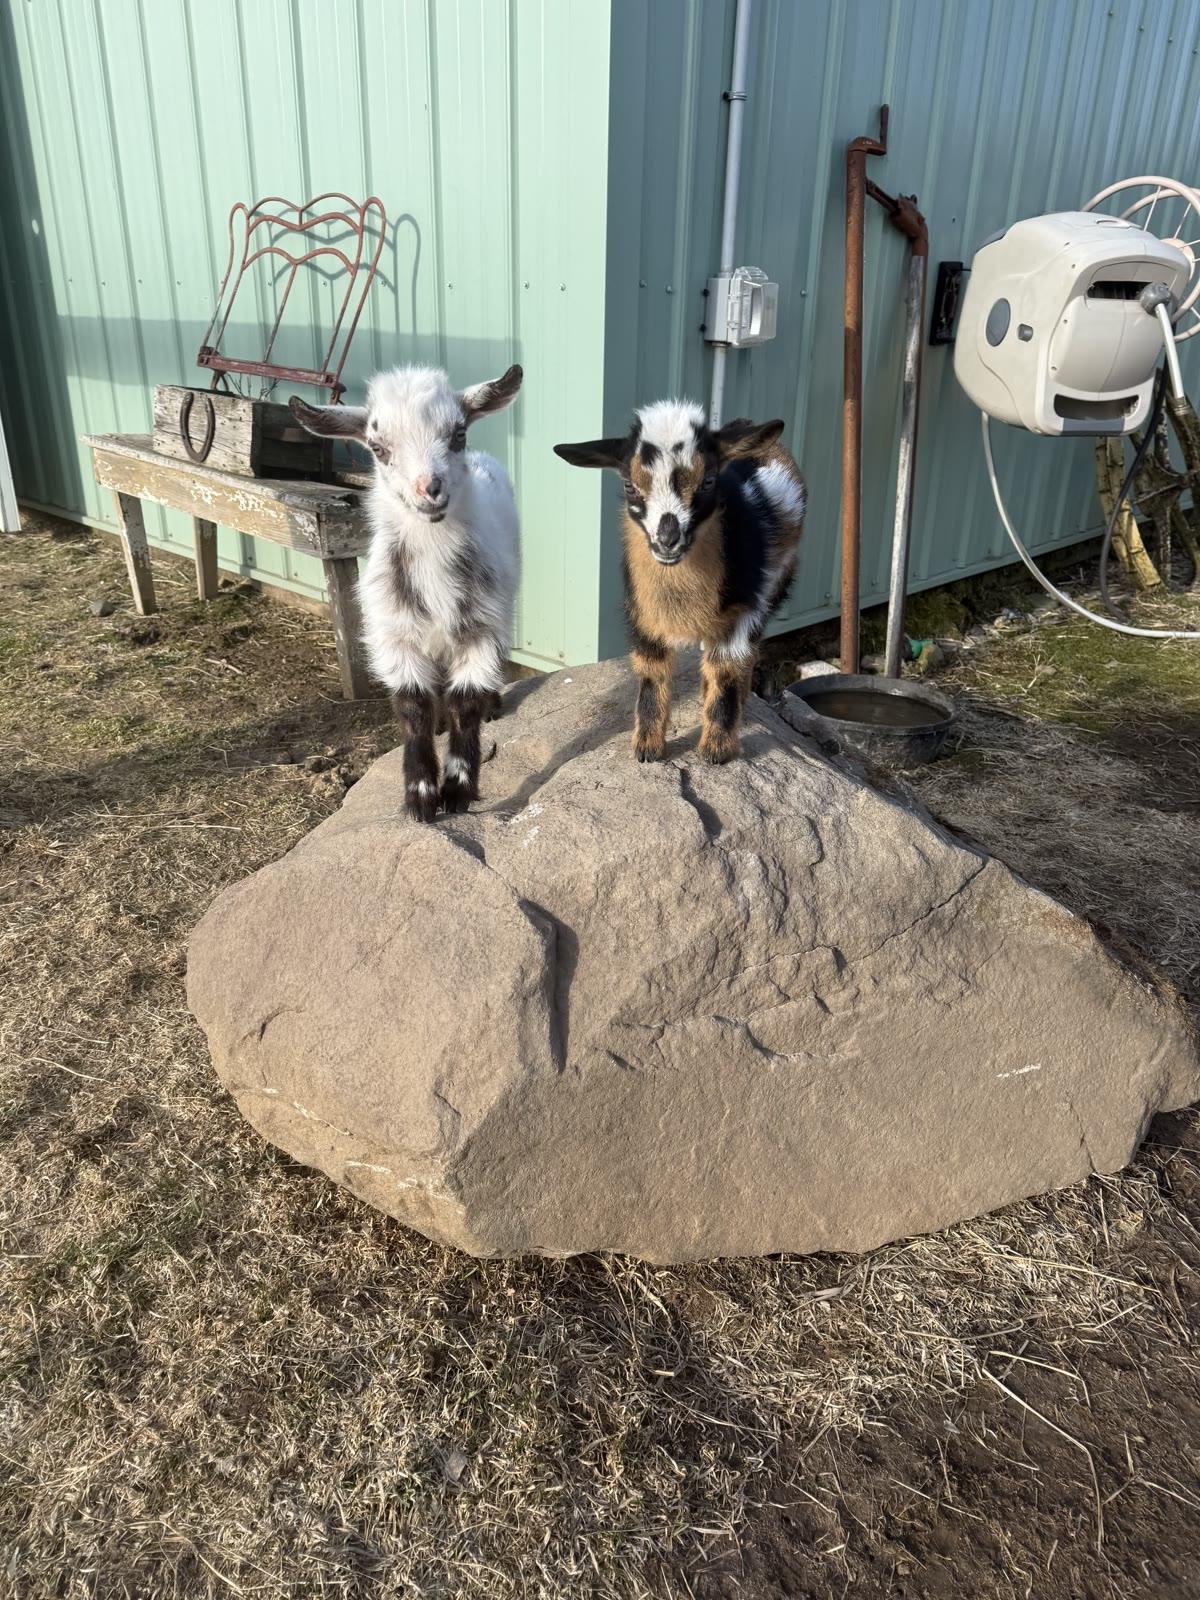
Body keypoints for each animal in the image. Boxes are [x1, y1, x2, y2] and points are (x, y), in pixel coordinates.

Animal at [291, 363, 523, 822]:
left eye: (458, 434)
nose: (429, 489)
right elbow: (413, 707)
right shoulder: (394, 635)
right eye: (378, 448)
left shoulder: (481, 627)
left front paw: (457, 791)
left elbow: (466, 702)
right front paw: (420, 798)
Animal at [554, 399, 805, 764]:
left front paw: (717, 749)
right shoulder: (642, 615)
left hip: (777, 584)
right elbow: (651, 672)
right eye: (629, 484)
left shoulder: (745, 609)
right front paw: (647, 748)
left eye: (708, 481)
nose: (667, 540)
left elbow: (727, 668)